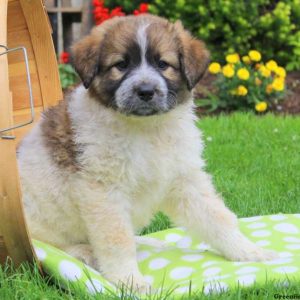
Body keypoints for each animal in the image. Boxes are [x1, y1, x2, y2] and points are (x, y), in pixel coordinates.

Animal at [17, 14, 276, 290]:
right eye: (121, 65)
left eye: (163, 64)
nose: (145, 92)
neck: (147, 129)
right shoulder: (104, 191)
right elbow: (117, 239)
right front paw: (129, 280)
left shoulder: (184, 178)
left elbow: (218, 217)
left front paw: (249, 251)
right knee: (53, 246)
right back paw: (84, 252)